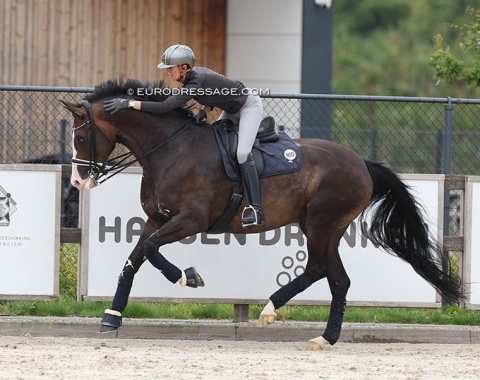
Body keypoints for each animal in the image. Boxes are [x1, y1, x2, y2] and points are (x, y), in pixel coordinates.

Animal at [62, 79, 464, 350]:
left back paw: (270, 308)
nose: (78, 181)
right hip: (327, 227)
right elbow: (136, 257)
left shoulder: (190, 221)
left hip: (320, 223)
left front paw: (187, 277)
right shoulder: (157, 219)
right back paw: (325, 338)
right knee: (338, 279)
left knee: (317, 269)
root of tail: (362, 163)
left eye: (80, 138)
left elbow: (149, 251)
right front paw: (113, 316)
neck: (171, 149)